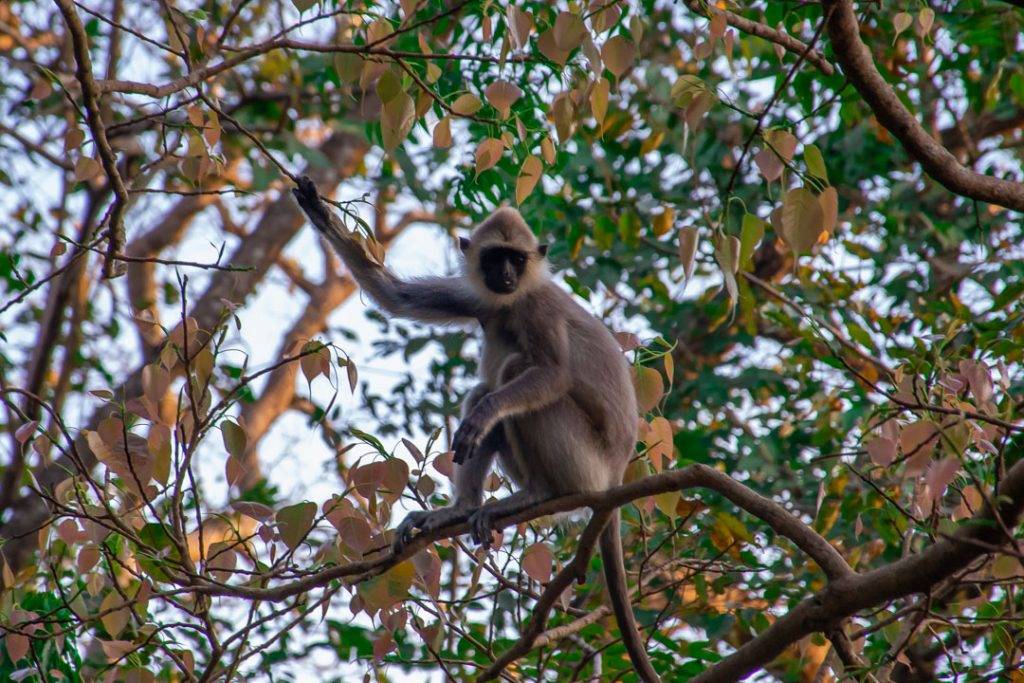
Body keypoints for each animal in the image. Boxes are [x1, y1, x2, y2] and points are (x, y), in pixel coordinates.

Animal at [292, 176, 660, 683]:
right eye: (494, 258)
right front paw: (315, 207)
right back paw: (461, 508)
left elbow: (553, 376)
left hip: (586, 460)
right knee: (489, 385)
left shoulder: (538, 306)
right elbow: (394, 296)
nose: (505, 274)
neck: (514, 299)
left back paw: (539, 491)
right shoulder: (484, 296)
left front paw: (486, 414)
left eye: (516, 259)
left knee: (512, 376)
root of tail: (616, 474)